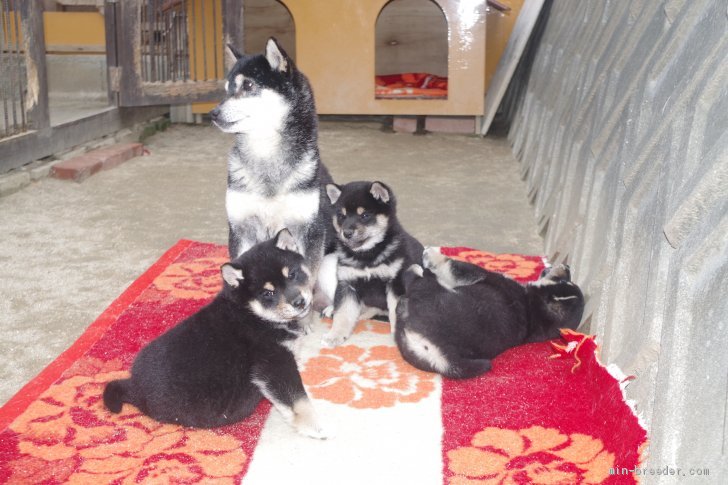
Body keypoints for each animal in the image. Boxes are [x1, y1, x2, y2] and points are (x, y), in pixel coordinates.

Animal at [103, 229, 328, 439]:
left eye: (292, 274)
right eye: (268, 293)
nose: (299, 301)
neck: (251, 314)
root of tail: (134, 386)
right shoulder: (274, 363)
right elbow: (297, 399)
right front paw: (315, 427)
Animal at [209, 37, 333, 283]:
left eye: (248, 86)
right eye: (227, 90)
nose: (213, 114)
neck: (266, 154)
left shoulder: (309, 230)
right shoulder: (242, 227)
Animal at [321, 181, 423, 347]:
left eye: (365, 215)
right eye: (342, 216)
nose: (346, 233)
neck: (366, 255)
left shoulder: (395, 282)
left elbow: (395, 312)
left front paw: (398, 337)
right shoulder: (347, 283)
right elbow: (343, 313)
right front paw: (335, 335)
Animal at [395, 247, 585, 379]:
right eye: (565, 280)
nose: (567, 265)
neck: (531, 309)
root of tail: (437, 354)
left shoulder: (478, 274)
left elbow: (450, 265)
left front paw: (430, 253)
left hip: (426, 290)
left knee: (413, 279)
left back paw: (416, 270)